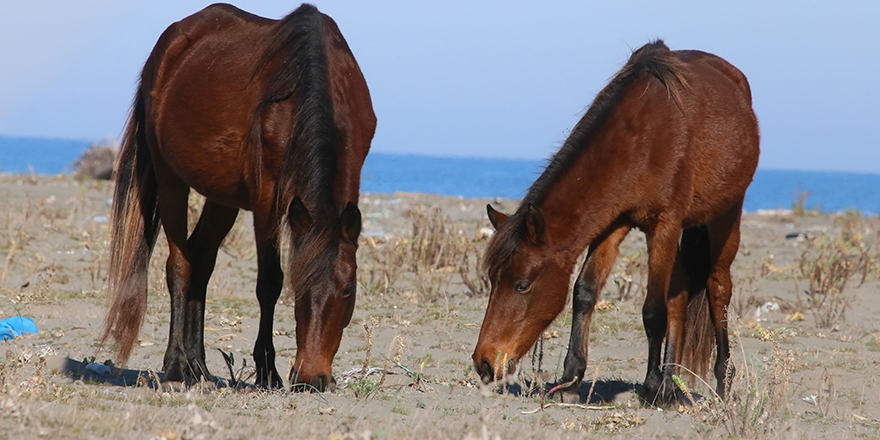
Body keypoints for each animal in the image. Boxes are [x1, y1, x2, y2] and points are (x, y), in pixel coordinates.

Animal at [99, 1, 374, 390]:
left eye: (348, 289)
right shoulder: (267, 203)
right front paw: (268, 371)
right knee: (179, 265)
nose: (311, 378)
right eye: (300, 287)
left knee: (201, 261)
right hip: (171, 181)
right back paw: (176, 366)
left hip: (223, 198)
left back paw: (197, 364)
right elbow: (269, 283)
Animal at [470, 39, 760, 404]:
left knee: (718, 288)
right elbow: (584, 292)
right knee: (680, 292)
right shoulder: (611, 224)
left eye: (521, 285)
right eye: (493, 280)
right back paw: (672, 384)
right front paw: (570, 379)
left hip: (725, 215)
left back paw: (720, 382)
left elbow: (653, 310)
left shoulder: (664, 225)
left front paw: (650, 387)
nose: (484, 362)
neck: (642, 138)